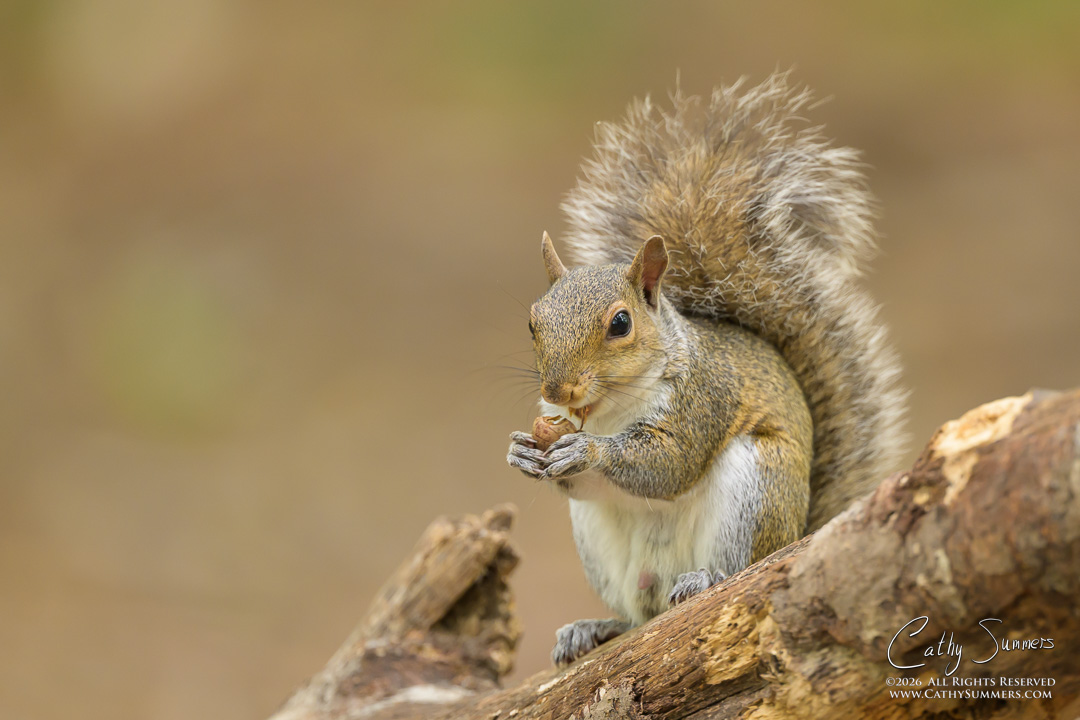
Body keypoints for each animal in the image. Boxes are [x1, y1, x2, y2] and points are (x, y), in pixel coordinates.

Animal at [506, 73, 906, 667]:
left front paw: (590, 451)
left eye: (620, 323)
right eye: (533, 321)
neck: (610, 406)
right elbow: (575, 482)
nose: (558, 388)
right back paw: (594, 627)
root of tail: (798, 531)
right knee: (638, 615)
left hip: (755, 491)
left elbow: (668, 464)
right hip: (601, 546)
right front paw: (521, 451)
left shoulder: (704, 398)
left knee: (737, 570)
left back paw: (705, 579)